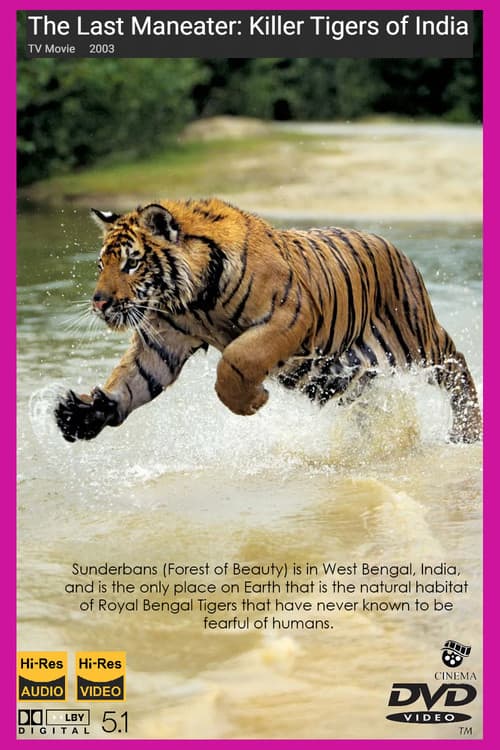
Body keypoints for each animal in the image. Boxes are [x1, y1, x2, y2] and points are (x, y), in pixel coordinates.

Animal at [54, 197, 482, 444]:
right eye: (101, 265)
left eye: (132, 263)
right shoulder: (163, 342)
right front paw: (82, 414)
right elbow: (132, 379)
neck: (193, 301)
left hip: (414, 339)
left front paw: (251, 402)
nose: (99, 303)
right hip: (340, 375)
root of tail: (394, 247)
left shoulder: (288, 317)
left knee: (457, 364)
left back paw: (467, 432)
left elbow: (236, 361)